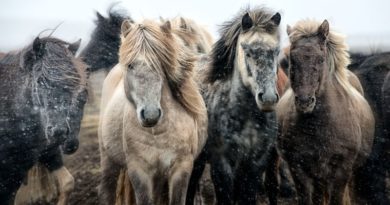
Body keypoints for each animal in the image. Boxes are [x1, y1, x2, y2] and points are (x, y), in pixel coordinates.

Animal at [97, 19, 207, 205]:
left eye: (160, 64)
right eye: (130, 65)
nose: (150, 115)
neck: (157, 133)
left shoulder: (182, 167)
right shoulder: (139, 171)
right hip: (107, 160)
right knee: (106, 191)